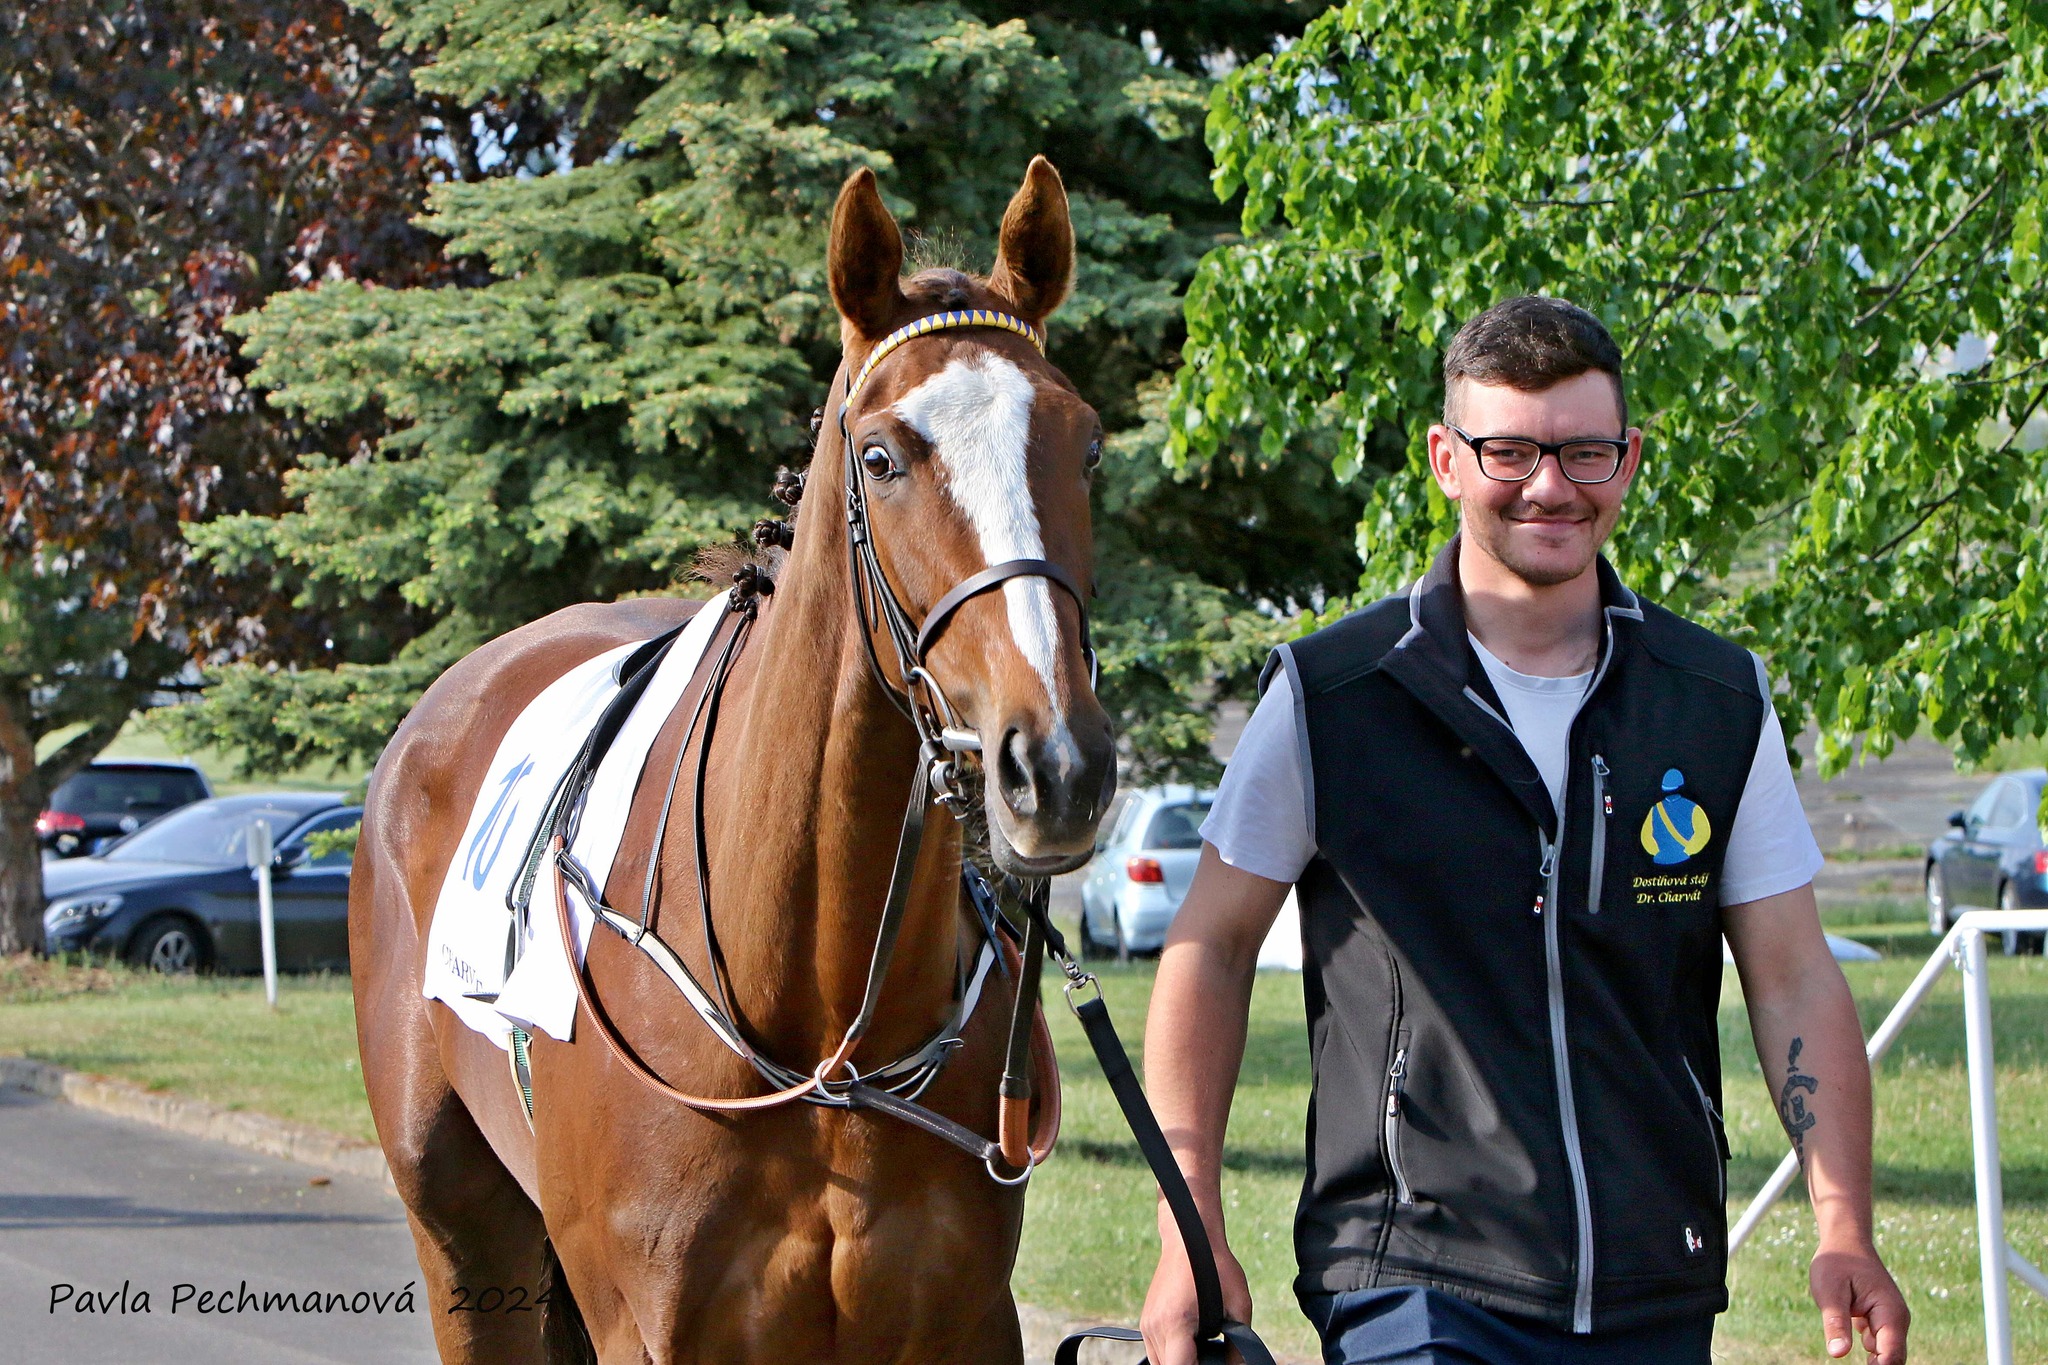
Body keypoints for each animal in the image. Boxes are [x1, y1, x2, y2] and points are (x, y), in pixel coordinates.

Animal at [352, 160, 1122, 1365]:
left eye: (1084, 446)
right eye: (880, 457)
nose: (1055, 763)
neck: (822, 1036)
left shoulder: (961, 1322)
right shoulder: (654, 1328)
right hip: (464, 1242)